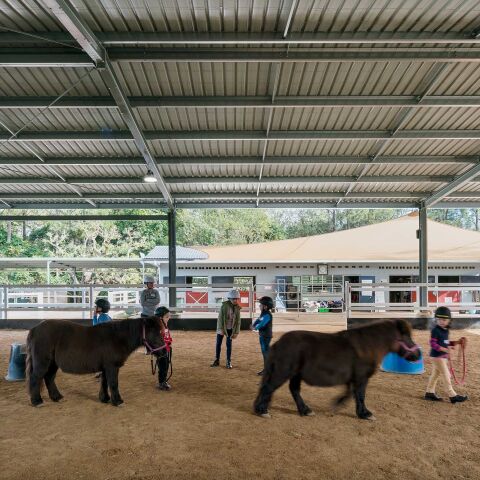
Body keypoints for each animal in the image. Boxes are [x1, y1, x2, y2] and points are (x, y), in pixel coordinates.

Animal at [26, 316, 165, 406]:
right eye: (156, 333)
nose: (164, 352)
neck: (117, 338)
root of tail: (35, 329)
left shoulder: (105, 368)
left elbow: (104, 382)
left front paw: (105, 399)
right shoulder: (112, 367)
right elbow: (113, 383)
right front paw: (117, 401)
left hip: (53, 364)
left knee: (49, 378)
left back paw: (57, 397)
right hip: (43, 363)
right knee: (35, 378)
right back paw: (37, 401)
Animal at [255, 318, 420, 420]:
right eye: (406, 337)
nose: (418, 354)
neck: (368, 346)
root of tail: (278, 343)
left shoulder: (353, 379)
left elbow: (350, 393)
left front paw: (338, 403)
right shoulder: (361, 378)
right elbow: (360, 395)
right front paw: (365, 414)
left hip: (295, 375)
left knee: (293, 390)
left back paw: (305, 410)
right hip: (282, 373)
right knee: (268, 388)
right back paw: (262, 411)